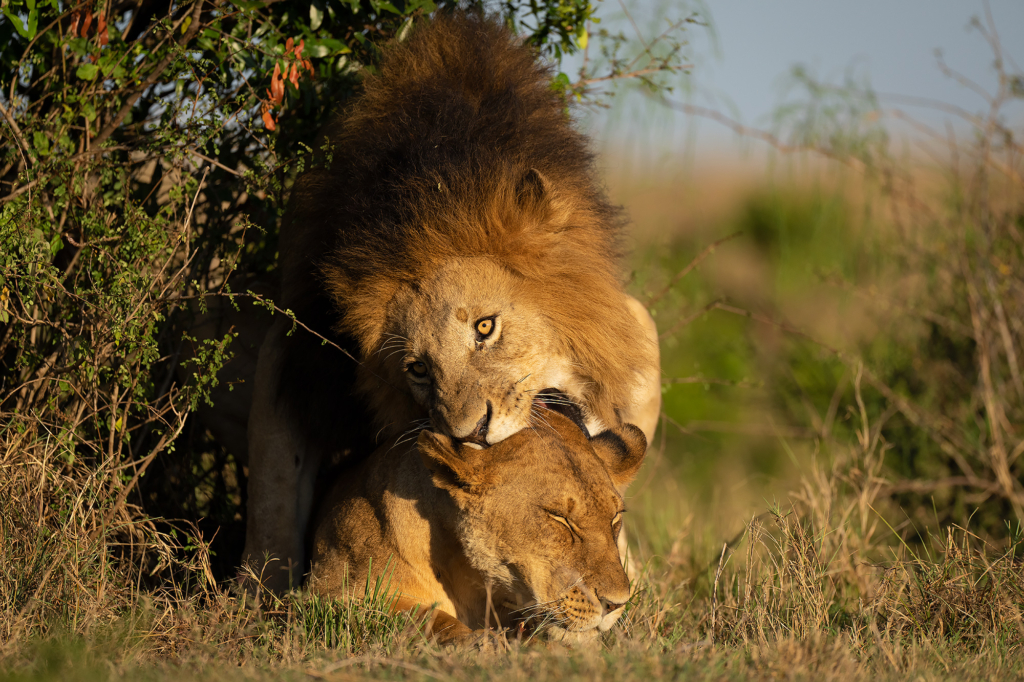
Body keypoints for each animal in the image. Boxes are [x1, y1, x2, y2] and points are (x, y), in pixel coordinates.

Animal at [307, 409, 643, 643]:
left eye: (614, 518)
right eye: (559, 517)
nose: (616, 604)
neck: (469, 579)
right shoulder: (328, 594)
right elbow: (424, 616)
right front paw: (477, 644)